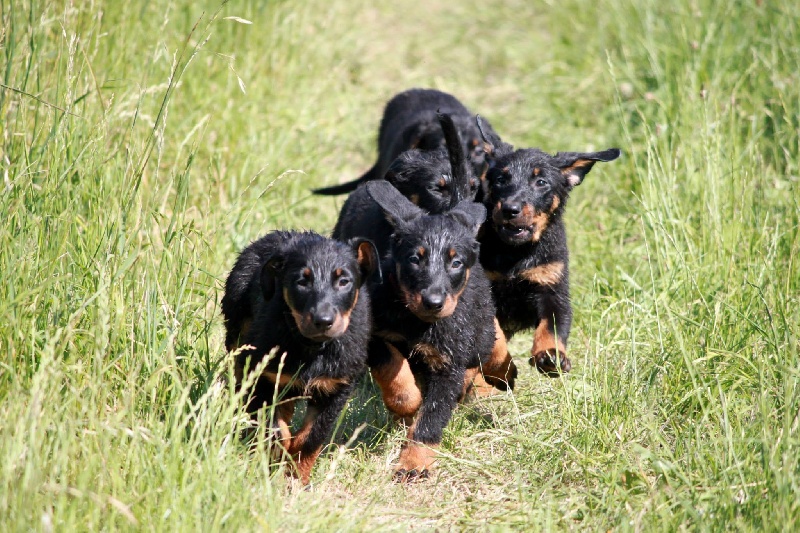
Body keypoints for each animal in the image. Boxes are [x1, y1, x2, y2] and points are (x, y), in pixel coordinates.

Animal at [220, 231, 380, 484]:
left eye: (344, 281)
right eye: (301, 282)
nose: (323, 321)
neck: (313, 347)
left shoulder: (336, 389)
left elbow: (310, 437)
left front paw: (296, 478)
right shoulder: (264, 376)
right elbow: (276, 430)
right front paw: (276, 459)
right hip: (239, 336)